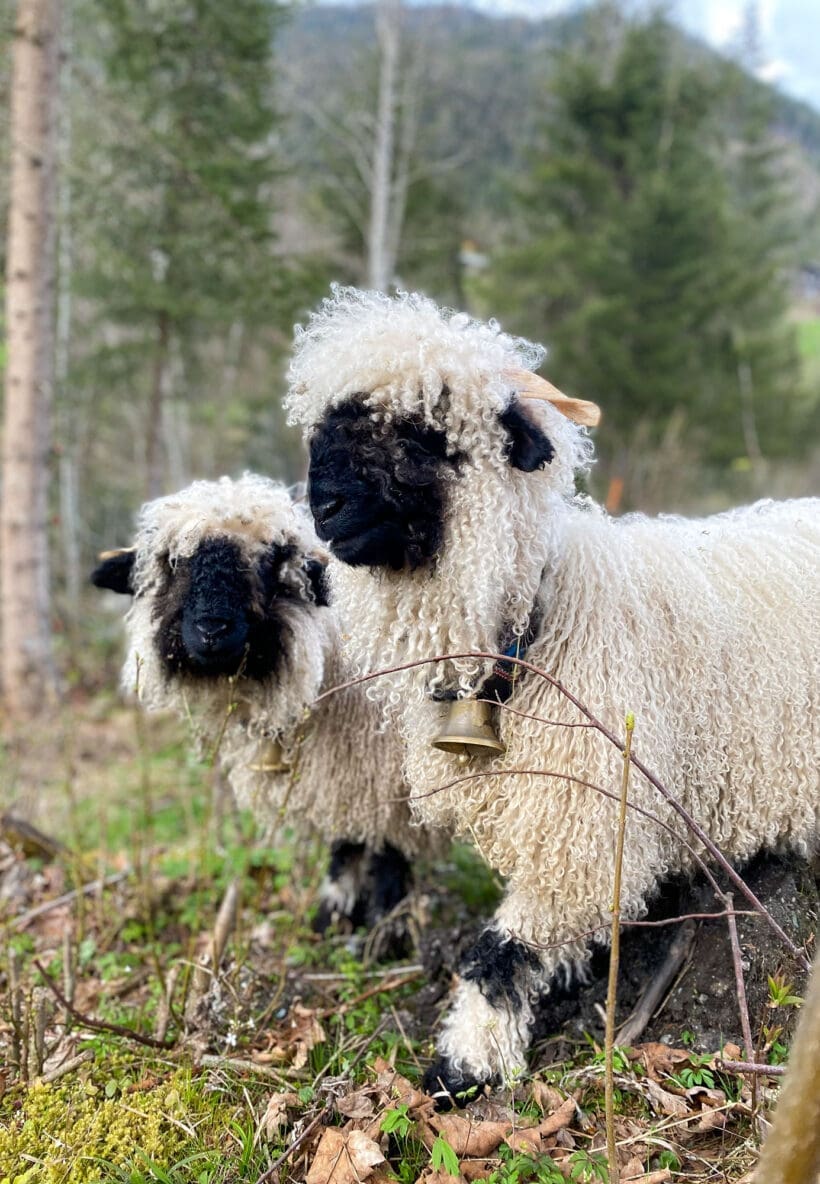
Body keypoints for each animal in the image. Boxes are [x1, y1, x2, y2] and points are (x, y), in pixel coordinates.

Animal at [93, 475, 437, 937]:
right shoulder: (345, 772)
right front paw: (333, 916)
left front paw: (387, 929)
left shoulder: (390, 773)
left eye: (270, 564)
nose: (212, 629)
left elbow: (387, 853)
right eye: (174, 564)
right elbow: (345, 844)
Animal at [286, 284, 818, 1098]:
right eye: (322, 432)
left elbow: (503, 951)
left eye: (421, 436)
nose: (325, 508)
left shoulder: (583, 823)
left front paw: (464, 1063)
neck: (537, 618)